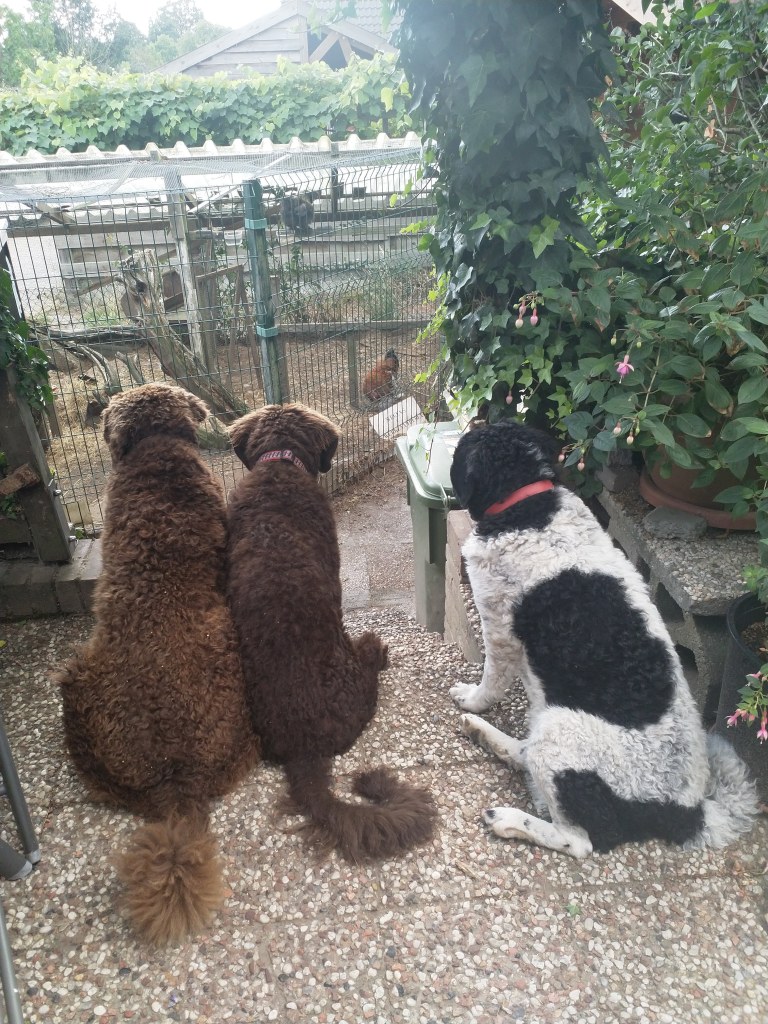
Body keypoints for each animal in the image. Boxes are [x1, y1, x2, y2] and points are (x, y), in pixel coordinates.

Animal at [448, 420, 757, 858]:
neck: (529, 506)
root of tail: (686, 813)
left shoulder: (499, 626)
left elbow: (491, 680)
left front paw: (473, 698)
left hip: (563, 734)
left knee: (578, 841)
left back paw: (508, 818)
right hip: (551, 726)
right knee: (526, 754)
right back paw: (485, 735)